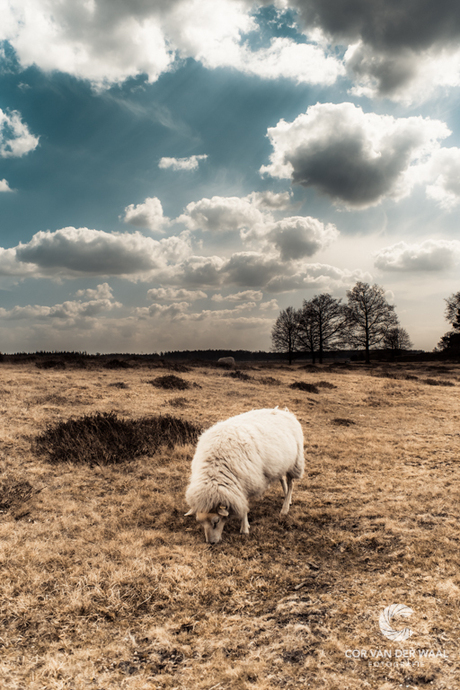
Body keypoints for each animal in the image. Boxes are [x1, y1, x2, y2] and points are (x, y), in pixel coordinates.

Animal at [183, 406, 306, 540]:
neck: (215, 468)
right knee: (282, 479)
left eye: (216, 521)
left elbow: (243, 507)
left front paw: (244, 528)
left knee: (290, 483)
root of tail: (285, 412)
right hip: (280, 464)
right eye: (200, 522)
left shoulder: (246, 481)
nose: (211, 543)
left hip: (295, 462)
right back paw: (287, 498)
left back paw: (285, 507)